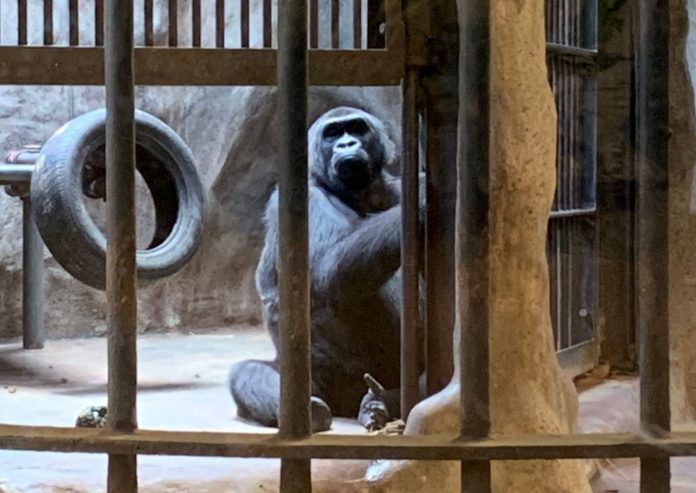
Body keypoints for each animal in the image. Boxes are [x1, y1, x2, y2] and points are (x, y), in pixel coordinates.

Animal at [228, 106, 424, 430]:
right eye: (332, 134)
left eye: (356, 129)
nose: (347, 144)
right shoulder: (306, 198)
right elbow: (327, 270)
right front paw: (422, 204)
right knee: (248, 373)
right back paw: (313, 410)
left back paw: (385, 401)